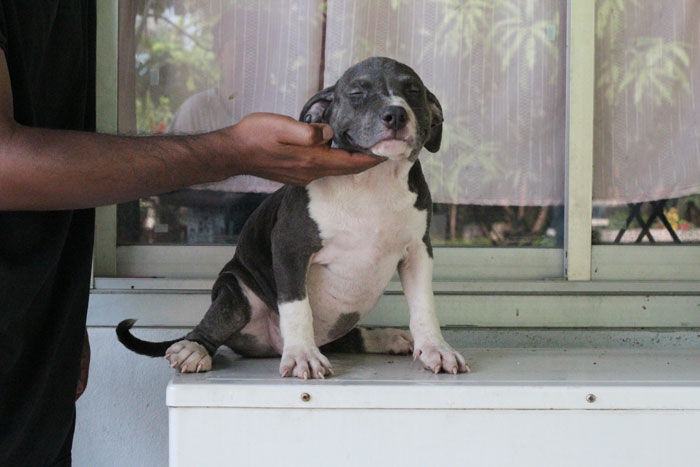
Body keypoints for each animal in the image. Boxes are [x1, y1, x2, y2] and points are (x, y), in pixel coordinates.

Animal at [117, 57, 469, 379]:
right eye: (357, 93)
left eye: (412, 91)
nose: (396, 114)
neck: (374, 180)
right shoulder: (290, 247)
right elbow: (297, 306)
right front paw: (302, 355)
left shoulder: (418, 251)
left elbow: (424, 304)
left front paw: (436, 348)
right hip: (235, 291)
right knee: (215, 325)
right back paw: (193, 349)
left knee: (349, 338)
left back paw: (385, 338)